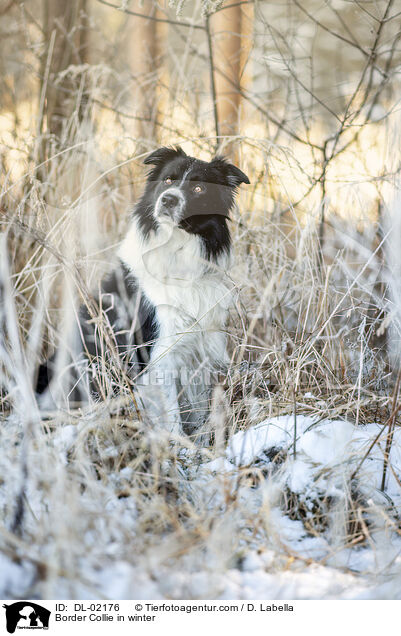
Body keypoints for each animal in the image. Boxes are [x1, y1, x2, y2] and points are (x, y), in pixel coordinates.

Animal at [38, 145, 250, 432]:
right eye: (168, 180)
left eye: (198, 189)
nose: (168, 200)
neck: (176, 252)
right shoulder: (157, 354)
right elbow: (172, 416)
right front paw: (177, 443)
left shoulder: (199, 350)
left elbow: (197, 412)